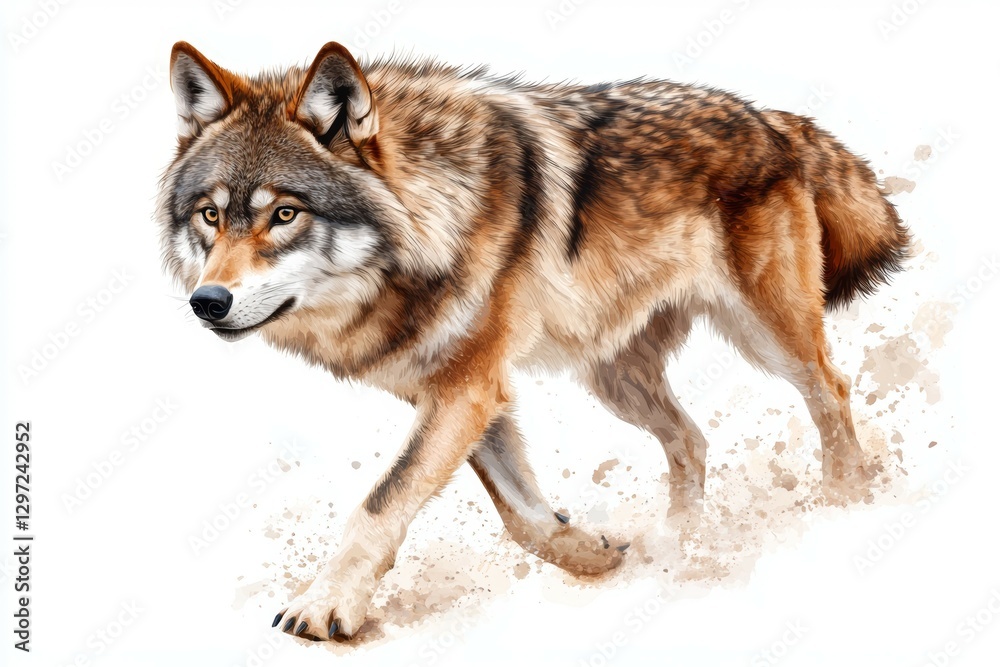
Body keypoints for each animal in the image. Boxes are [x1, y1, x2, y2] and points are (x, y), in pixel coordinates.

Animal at [155, 41, 909, 640]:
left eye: (285, 214)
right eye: (210, 216)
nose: (207, 302)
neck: (432, 220)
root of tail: (771, 118)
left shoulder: (467, 389)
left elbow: (380, 503)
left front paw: (323, 606)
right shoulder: (466, 396)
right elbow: (523, 518)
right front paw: (594, 555)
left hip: (766, 337)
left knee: (830, 390)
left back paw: (843, 500)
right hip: (615, 381)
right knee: (692, 439)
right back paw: (679, 542)